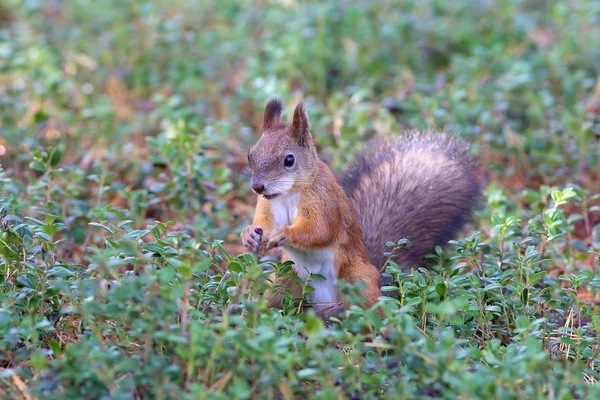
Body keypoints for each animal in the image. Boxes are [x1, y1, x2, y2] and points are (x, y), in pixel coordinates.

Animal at [241, 99, 480, 318]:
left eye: (289, 160)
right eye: (250, 154)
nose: (257, 186)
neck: (289, 193)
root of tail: (326, 306)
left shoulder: (324, 202)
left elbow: (320, 230)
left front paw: (285, 233)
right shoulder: (268, 205)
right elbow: (265, 223)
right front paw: (249, 234)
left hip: (358, 281)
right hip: (285, 280)